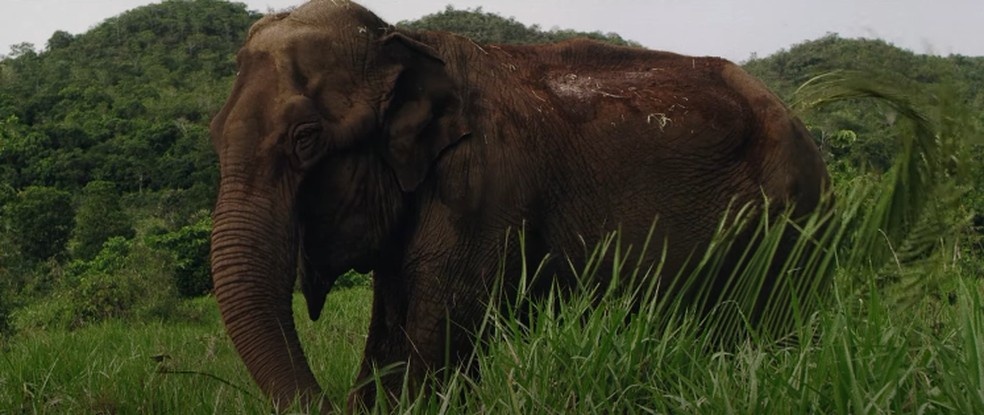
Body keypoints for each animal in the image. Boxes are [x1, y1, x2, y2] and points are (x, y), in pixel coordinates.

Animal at [208, 0, 830, 411]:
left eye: (306, 139)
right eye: (214, 130)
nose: (333, 402)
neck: (407, 38)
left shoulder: (485, 182)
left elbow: (445, 321)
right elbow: (389, 320)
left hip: (791, 225)